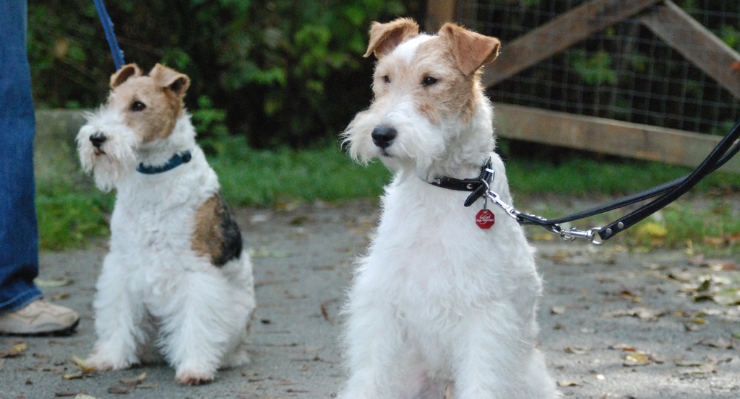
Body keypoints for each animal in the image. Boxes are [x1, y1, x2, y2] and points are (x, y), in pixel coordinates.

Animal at [77, 64, 258, 386]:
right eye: (110, 101)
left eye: (138, 105)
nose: (97, 139)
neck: (154, 174)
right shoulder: (121, 265)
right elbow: (117, 316)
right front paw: (109, 358)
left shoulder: (195, 270)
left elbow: (196, 323)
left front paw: (195, 369)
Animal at [338, 18, 556, 399]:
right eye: (385, 77)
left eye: (430, 80)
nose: (381, 135)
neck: (440, 187)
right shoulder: (384, 301)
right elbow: (371, 374)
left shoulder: (484, 311)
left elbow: (483, 381)